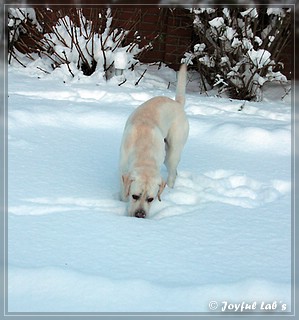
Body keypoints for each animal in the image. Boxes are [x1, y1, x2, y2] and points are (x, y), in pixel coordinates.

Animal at [119, 65, 190, 219]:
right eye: (134, 196)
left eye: (150, 199)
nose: (140, 215)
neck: (144, 153)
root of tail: (177, 103)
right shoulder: (123, 169)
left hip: (172, 152)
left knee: (172, 174)